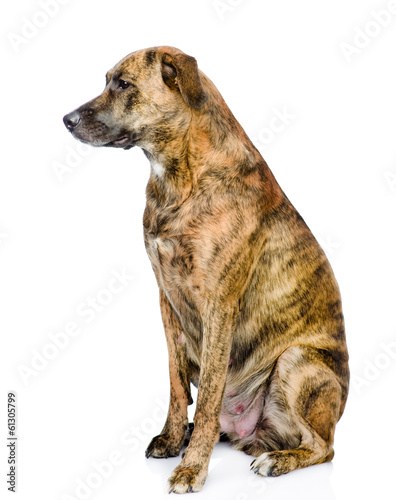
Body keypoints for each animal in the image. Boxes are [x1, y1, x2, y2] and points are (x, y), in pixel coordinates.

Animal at [64, 46, 350, 492]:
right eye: (108, 80)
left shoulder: (219, 306)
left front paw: (192, 468)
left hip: (297, 361)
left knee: (323, 447)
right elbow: (176, 384)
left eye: (124, 84)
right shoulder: (167, 301)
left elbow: (211, 395)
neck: (181, 176)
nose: (67, 120)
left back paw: (276, 460)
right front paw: (171, 438)